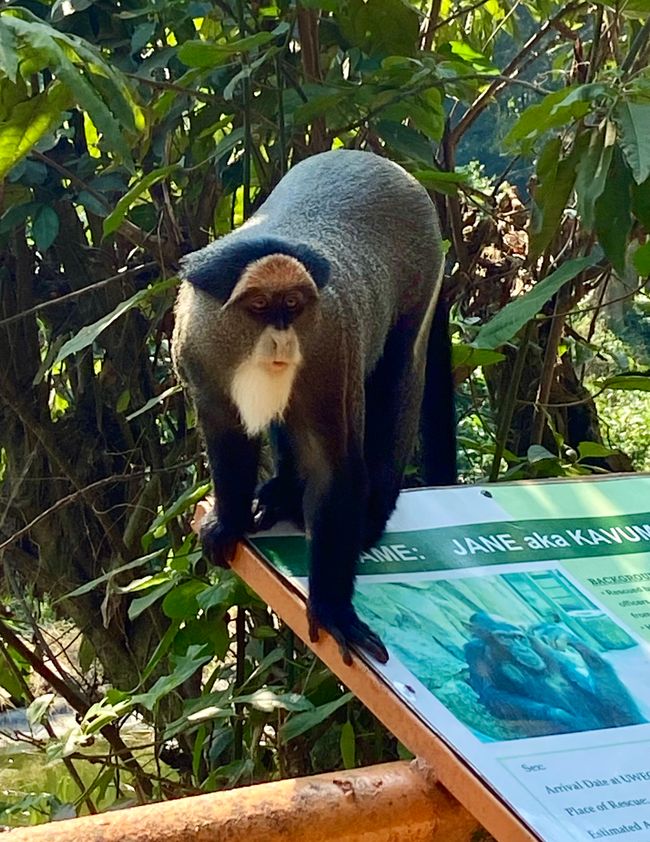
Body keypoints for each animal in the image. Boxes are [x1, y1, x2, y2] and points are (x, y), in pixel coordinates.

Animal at [172, 149, 456, 664]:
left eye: (293, 304)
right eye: (258, 306)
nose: (283, 339)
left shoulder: (330, 356)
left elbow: (334, 468)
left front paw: (332, 609)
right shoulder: (198, 361)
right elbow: (227, 441)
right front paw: (228, 522)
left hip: (418, 293)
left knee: (396, 388)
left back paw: (371, 518)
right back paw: (282, 493)